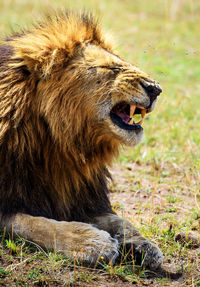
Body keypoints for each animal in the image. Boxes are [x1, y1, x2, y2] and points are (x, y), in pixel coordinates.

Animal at [0, 11, 162, 270]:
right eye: (109, 67)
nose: (156, 88)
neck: (61, 145)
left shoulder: (83, 194)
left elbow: (120, 221)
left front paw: (142, 243)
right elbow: (34, 224)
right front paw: (91, 242)